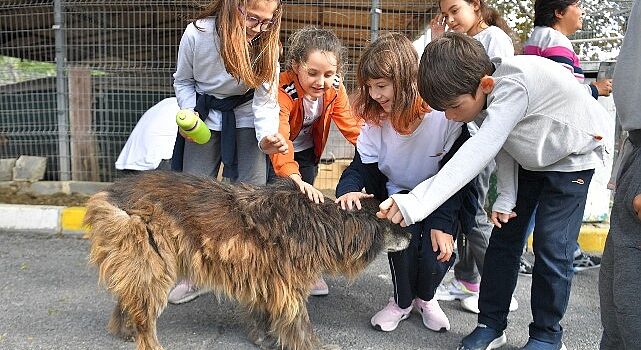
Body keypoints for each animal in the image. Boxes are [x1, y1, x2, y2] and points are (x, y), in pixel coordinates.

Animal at [84, 170, 410, 350]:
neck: (323, 223)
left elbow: (262, 314)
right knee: (144, 312)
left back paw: (124, 330)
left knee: (129, 298)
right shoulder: (287, 287)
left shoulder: (265, 279)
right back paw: (148, 341)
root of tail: (112, 192)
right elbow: (299, 324)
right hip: (153, 262)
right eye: (392, 223)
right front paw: (314, 346)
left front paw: (263, 339)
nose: (410, 236)